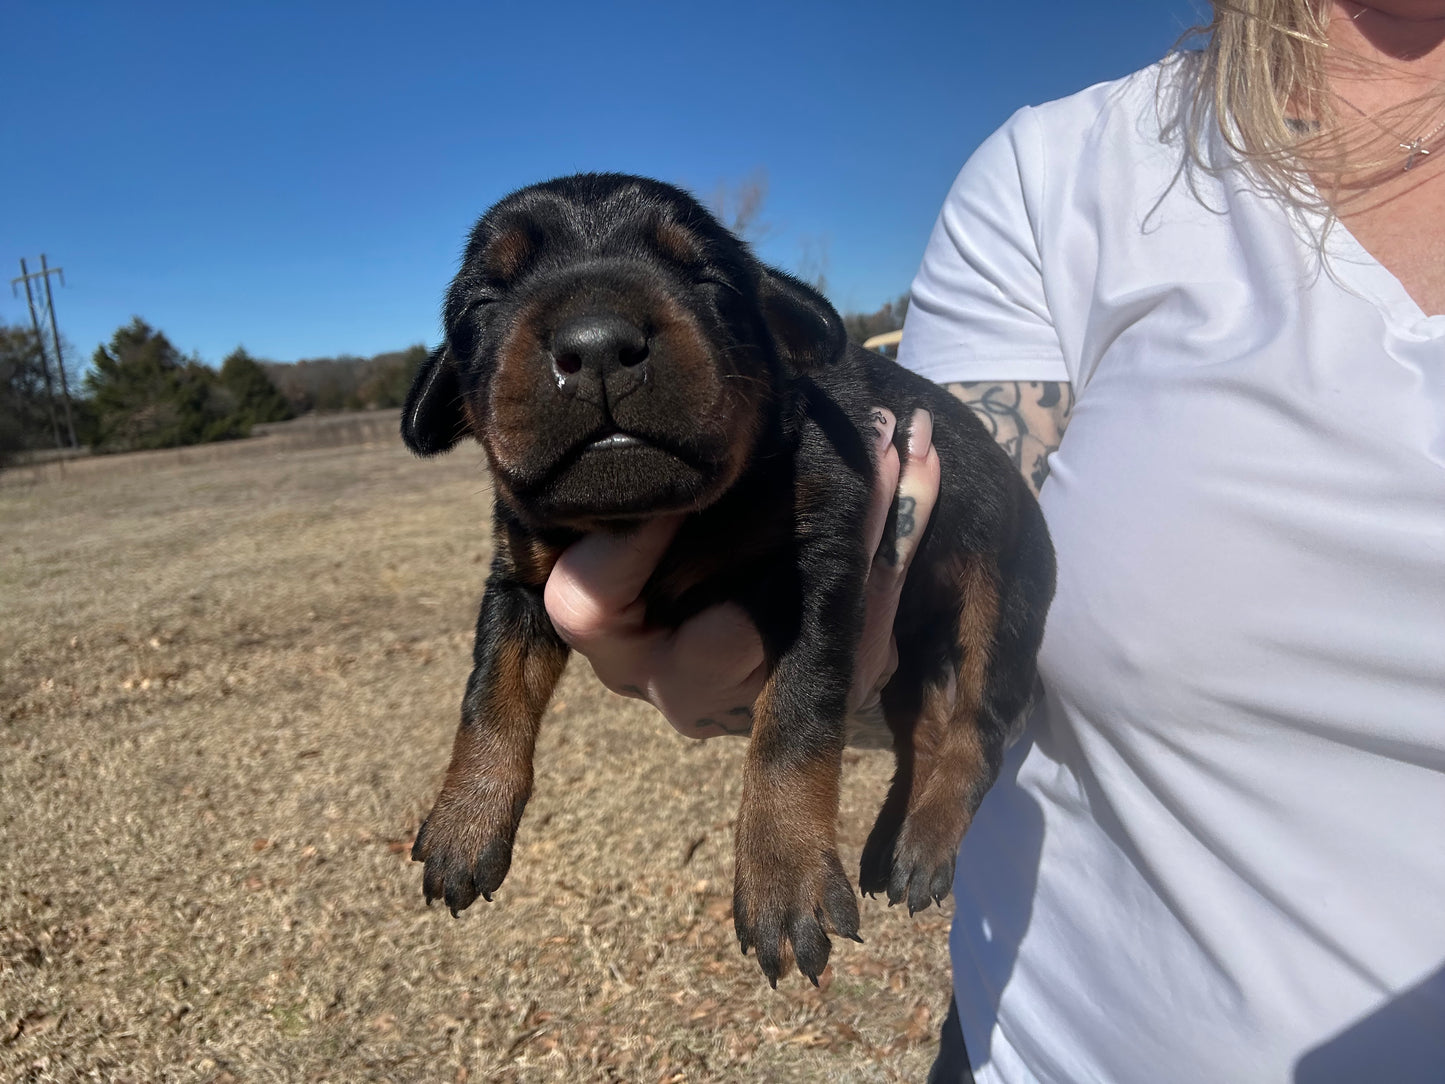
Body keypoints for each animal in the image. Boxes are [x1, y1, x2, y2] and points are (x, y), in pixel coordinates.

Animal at [401, 171, 1057, 994]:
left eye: (707, 280)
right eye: (483, 302)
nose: (596, 344)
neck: (655, 515)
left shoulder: (818, 571)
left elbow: (792, 725)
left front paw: (783, 877)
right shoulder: (520, 579)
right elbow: (491, 693)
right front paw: (465, 818)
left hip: (999, 582)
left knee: (976, 725)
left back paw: (929, 839)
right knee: (925, 732)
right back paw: (894, 841)